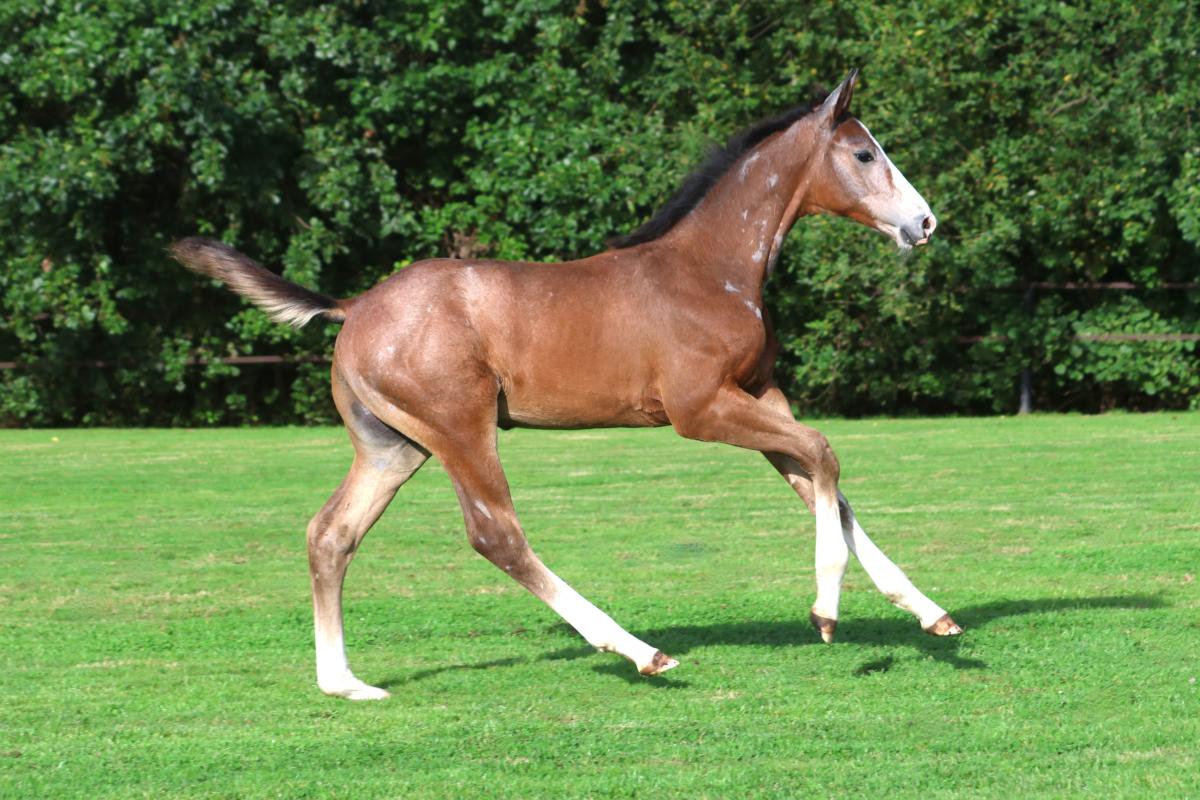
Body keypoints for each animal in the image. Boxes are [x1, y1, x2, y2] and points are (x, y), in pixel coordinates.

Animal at [172, 69, 958, 701]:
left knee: (331, 534)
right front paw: (826, 611)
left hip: (394, 446)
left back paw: (343, 683)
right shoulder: (702, 410)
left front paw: (929, 612)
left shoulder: (761, 397)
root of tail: (355, 306)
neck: (711, 268)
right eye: (864, 153)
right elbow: (824, 453)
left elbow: (823, 484)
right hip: (461, 429)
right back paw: (639, 651)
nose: (925, 222)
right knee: (496, 536)